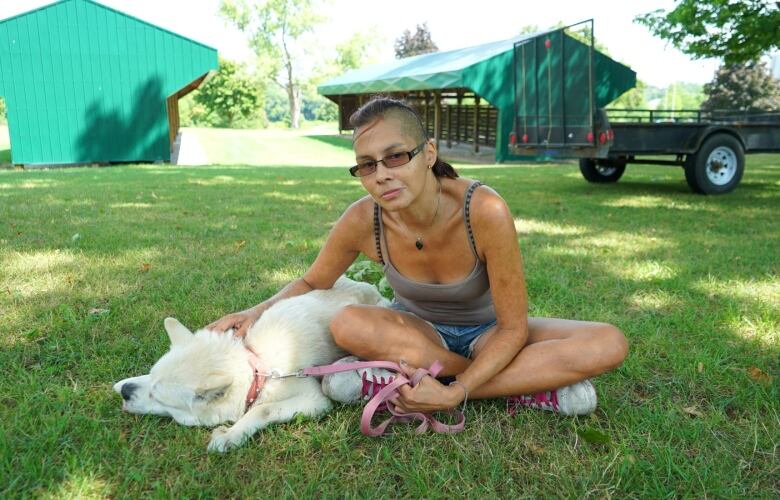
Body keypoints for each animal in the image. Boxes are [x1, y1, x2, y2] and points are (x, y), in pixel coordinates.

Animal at [112, 278, 386, 454]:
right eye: (151, 376)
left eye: (157, 398)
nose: (125, 392)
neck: (257, 364)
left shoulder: (314, 400)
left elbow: (261, 410)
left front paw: (231, 435)